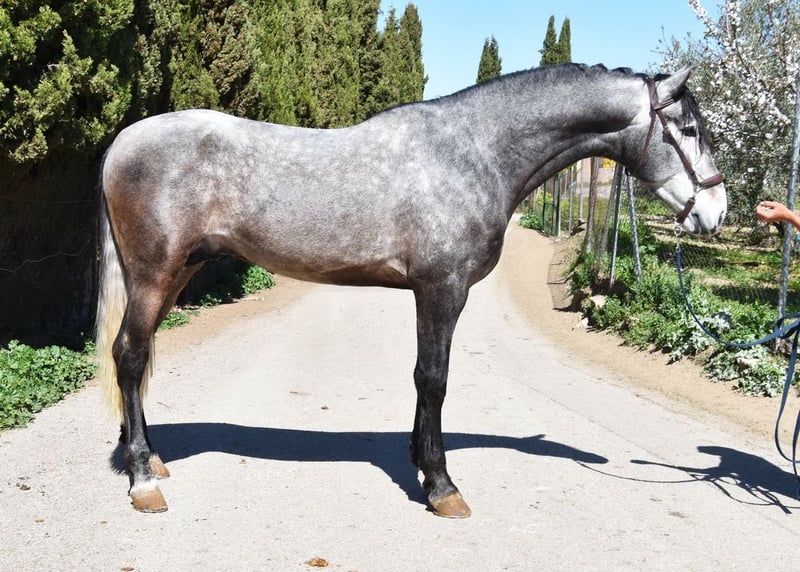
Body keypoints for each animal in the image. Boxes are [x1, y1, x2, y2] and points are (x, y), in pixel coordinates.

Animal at [96, 63, 727, 518]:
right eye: (689, 130)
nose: (716, 213)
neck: (473, 152)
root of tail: (121, 142)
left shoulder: (431, 292)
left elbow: (425, 378)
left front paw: (423, 468)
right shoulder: (442, 289)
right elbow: (434, 378)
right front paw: (442, 486)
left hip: (177, 272)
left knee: (138, 354)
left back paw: (147, 459)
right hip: (154, 274)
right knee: (129, 356)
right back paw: (144, 481)